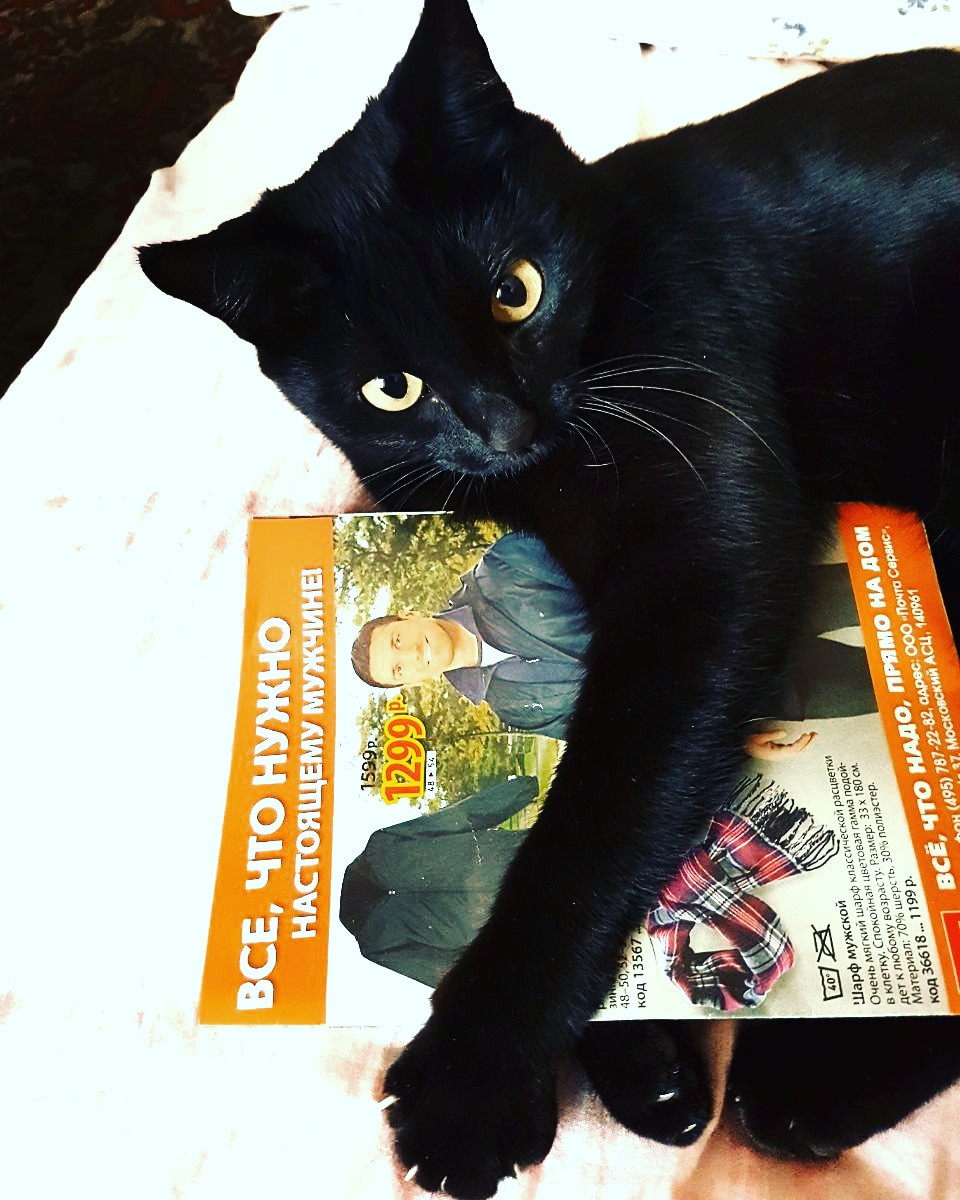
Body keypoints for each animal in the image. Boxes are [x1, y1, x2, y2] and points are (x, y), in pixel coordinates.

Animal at [139, 2, 960, 1196]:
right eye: (392, 387)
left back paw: (814, 1089)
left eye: (515, 290)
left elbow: (598, 821)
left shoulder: (701, 584)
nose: (503, 425)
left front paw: (477, 1082)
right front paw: (648, 1066)